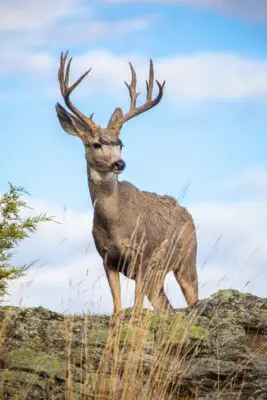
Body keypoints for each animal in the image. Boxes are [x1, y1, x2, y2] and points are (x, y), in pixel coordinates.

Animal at [56, 51, 199, 316]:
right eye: (96, 144)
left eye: (120, 143)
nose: (119, 163)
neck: (116, 223)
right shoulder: (106, 258)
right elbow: (117, 308)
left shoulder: (143, 255)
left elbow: (136, 305)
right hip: (158, 275)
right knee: (165, 305)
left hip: (187, 259)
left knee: (192, 298)